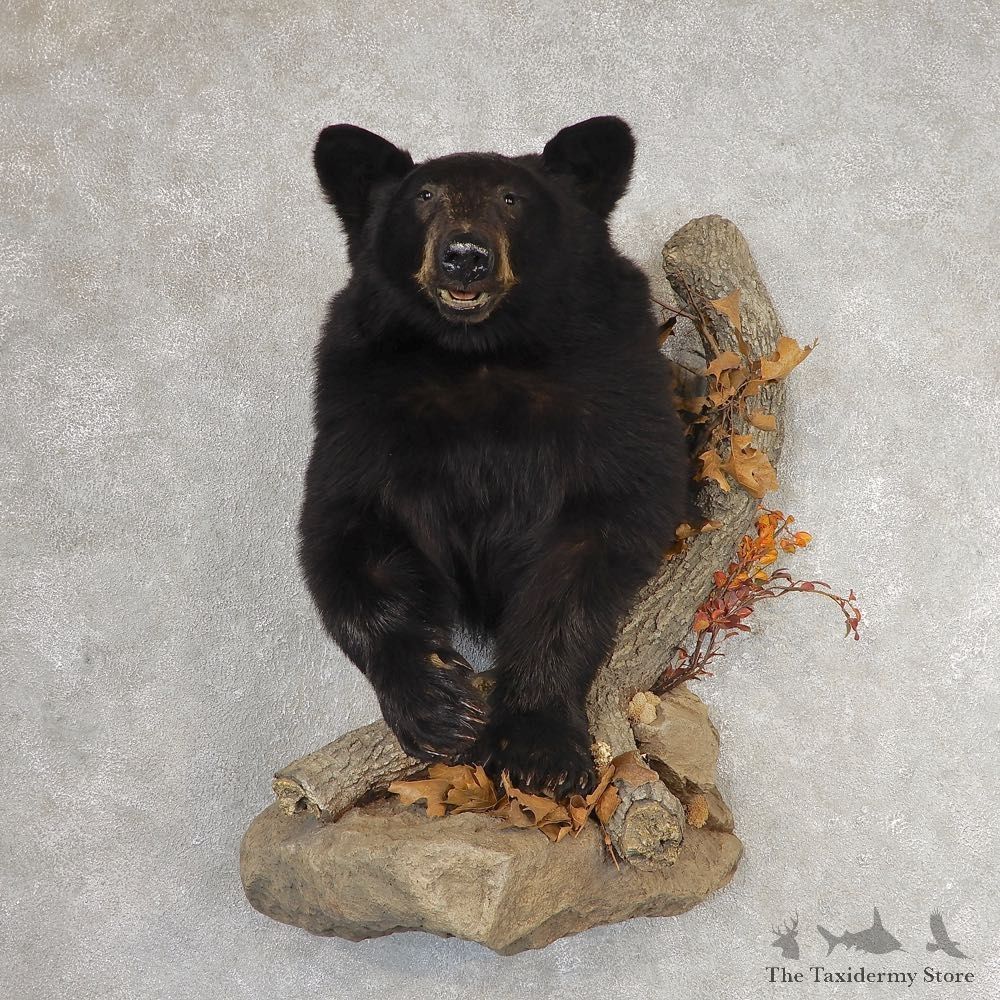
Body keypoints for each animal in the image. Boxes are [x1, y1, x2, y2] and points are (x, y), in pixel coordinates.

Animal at [297, 116, 690, 798]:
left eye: (512, 198)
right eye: (423, 196)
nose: (465, 254)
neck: (479, 356)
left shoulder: (613, 387)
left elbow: (596, 541)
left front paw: (540, 745)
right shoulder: (361, 407)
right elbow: (347, 534)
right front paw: (436, 706)